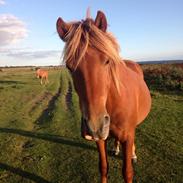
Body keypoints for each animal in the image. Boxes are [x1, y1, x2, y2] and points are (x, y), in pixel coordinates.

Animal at [56, 10, 151, 183]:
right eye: (69, 66)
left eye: (107, 61)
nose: (95, 125)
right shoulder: (100, 139)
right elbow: (104, 167)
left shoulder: (128, 136)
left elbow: (127, 172)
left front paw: (131, 157)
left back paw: (133, 154)